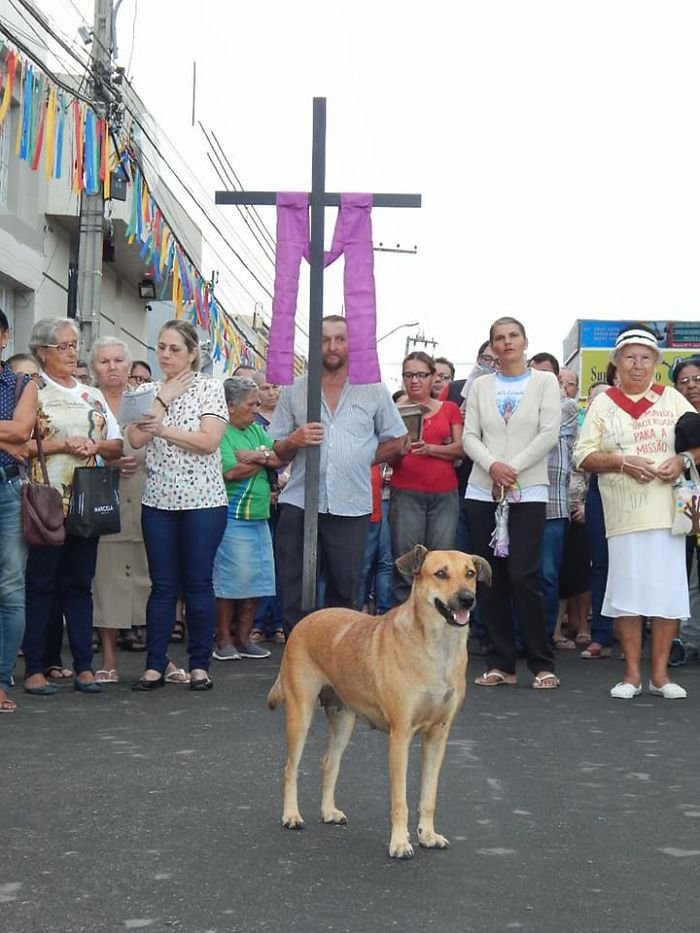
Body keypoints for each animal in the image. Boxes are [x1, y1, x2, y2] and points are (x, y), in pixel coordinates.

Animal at [268, 548, 492, 860]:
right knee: (290, 769)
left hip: (343, 720)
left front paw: (428, 835)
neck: (436, 649)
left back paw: (329, 812)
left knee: (329, 763)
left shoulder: (438, 736)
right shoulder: (400, 736)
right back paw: (291, 816)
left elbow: (429, 796)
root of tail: (305, 619)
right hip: (300, 715)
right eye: (441, 574)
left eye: (470, 573)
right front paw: (399, 843)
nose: (467, 599)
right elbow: (400, 800)